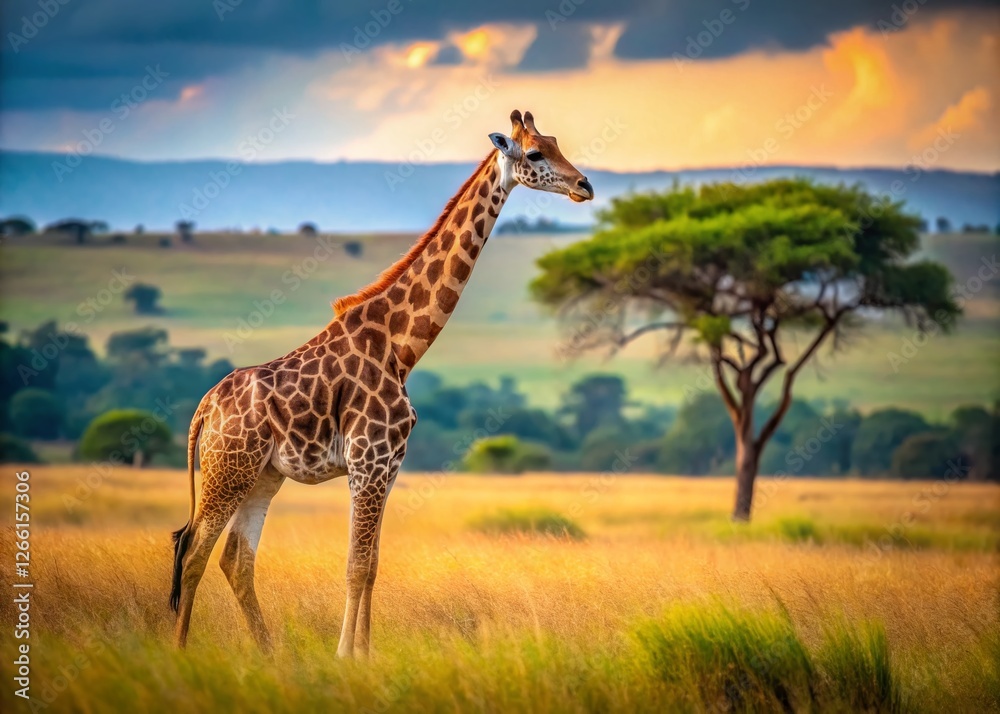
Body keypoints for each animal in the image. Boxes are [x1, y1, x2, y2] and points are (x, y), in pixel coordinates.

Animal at [169, 109, 594, 658]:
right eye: (537, 153)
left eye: (557, 141)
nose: (584, 186)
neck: (400, 346)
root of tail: (204, 409)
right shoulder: (367, 462)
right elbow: (355, 565)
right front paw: (345, 656)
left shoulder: (389, 466)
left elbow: (371, 565)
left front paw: (364, 656)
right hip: (229, 469)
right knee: (193, 549)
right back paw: (180, 653)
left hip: (262, 475)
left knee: (235, 560)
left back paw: (269, 654)